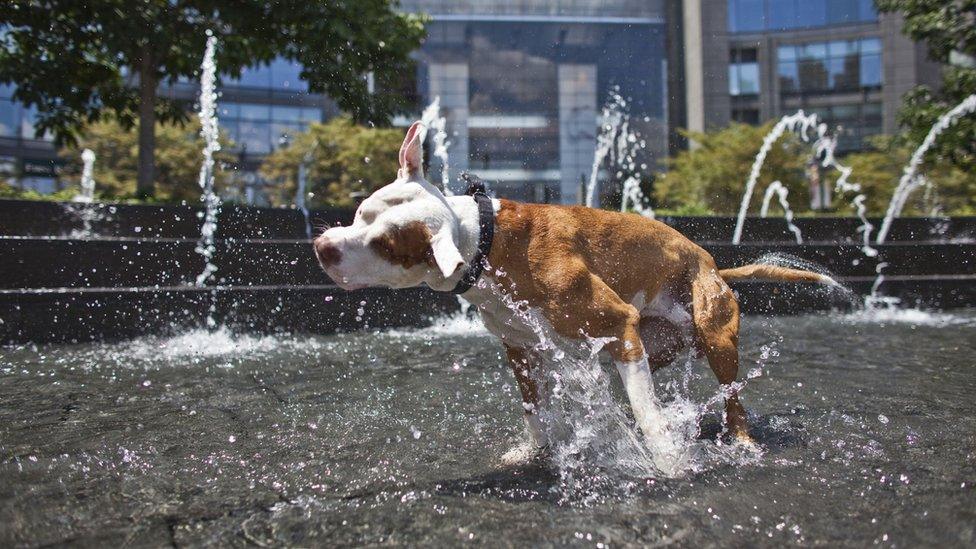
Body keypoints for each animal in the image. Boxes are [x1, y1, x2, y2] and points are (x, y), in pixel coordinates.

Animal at [312, 121, 832, 458]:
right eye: (361, 211)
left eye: (385, 245)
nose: (322, 246)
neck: (487, 241)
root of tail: (713, 263)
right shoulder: (521, 348)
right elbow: (535, 411)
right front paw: (536, 451)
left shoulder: (616, 321)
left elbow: (648, 414)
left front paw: (667, 460)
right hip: (651, 344)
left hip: (712, 335)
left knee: (728, 397)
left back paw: (741, 440)